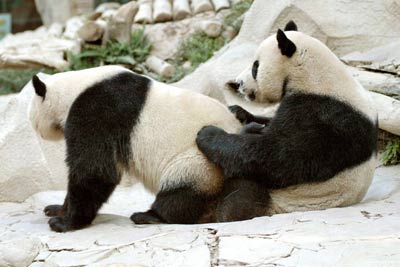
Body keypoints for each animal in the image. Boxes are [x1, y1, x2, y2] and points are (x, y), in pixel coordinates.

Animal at [29, 66, 242, 233]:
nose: (36, 128)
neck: (75, 88)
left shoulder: (98, 111)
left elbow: (95, 170)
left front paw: (64, 222)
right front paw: (55, 208)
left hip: (199, 159)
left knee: (184, 190)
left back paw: (151, 216)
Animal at [197, 21, 378, 222]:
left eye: (255, 67)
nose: (239, 83)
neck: (314, 75)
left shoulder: (324, 116)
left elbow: (278, 157)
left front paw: (208, 134)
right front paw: (238, 112)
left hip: (280, 202)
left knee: (243, 192)